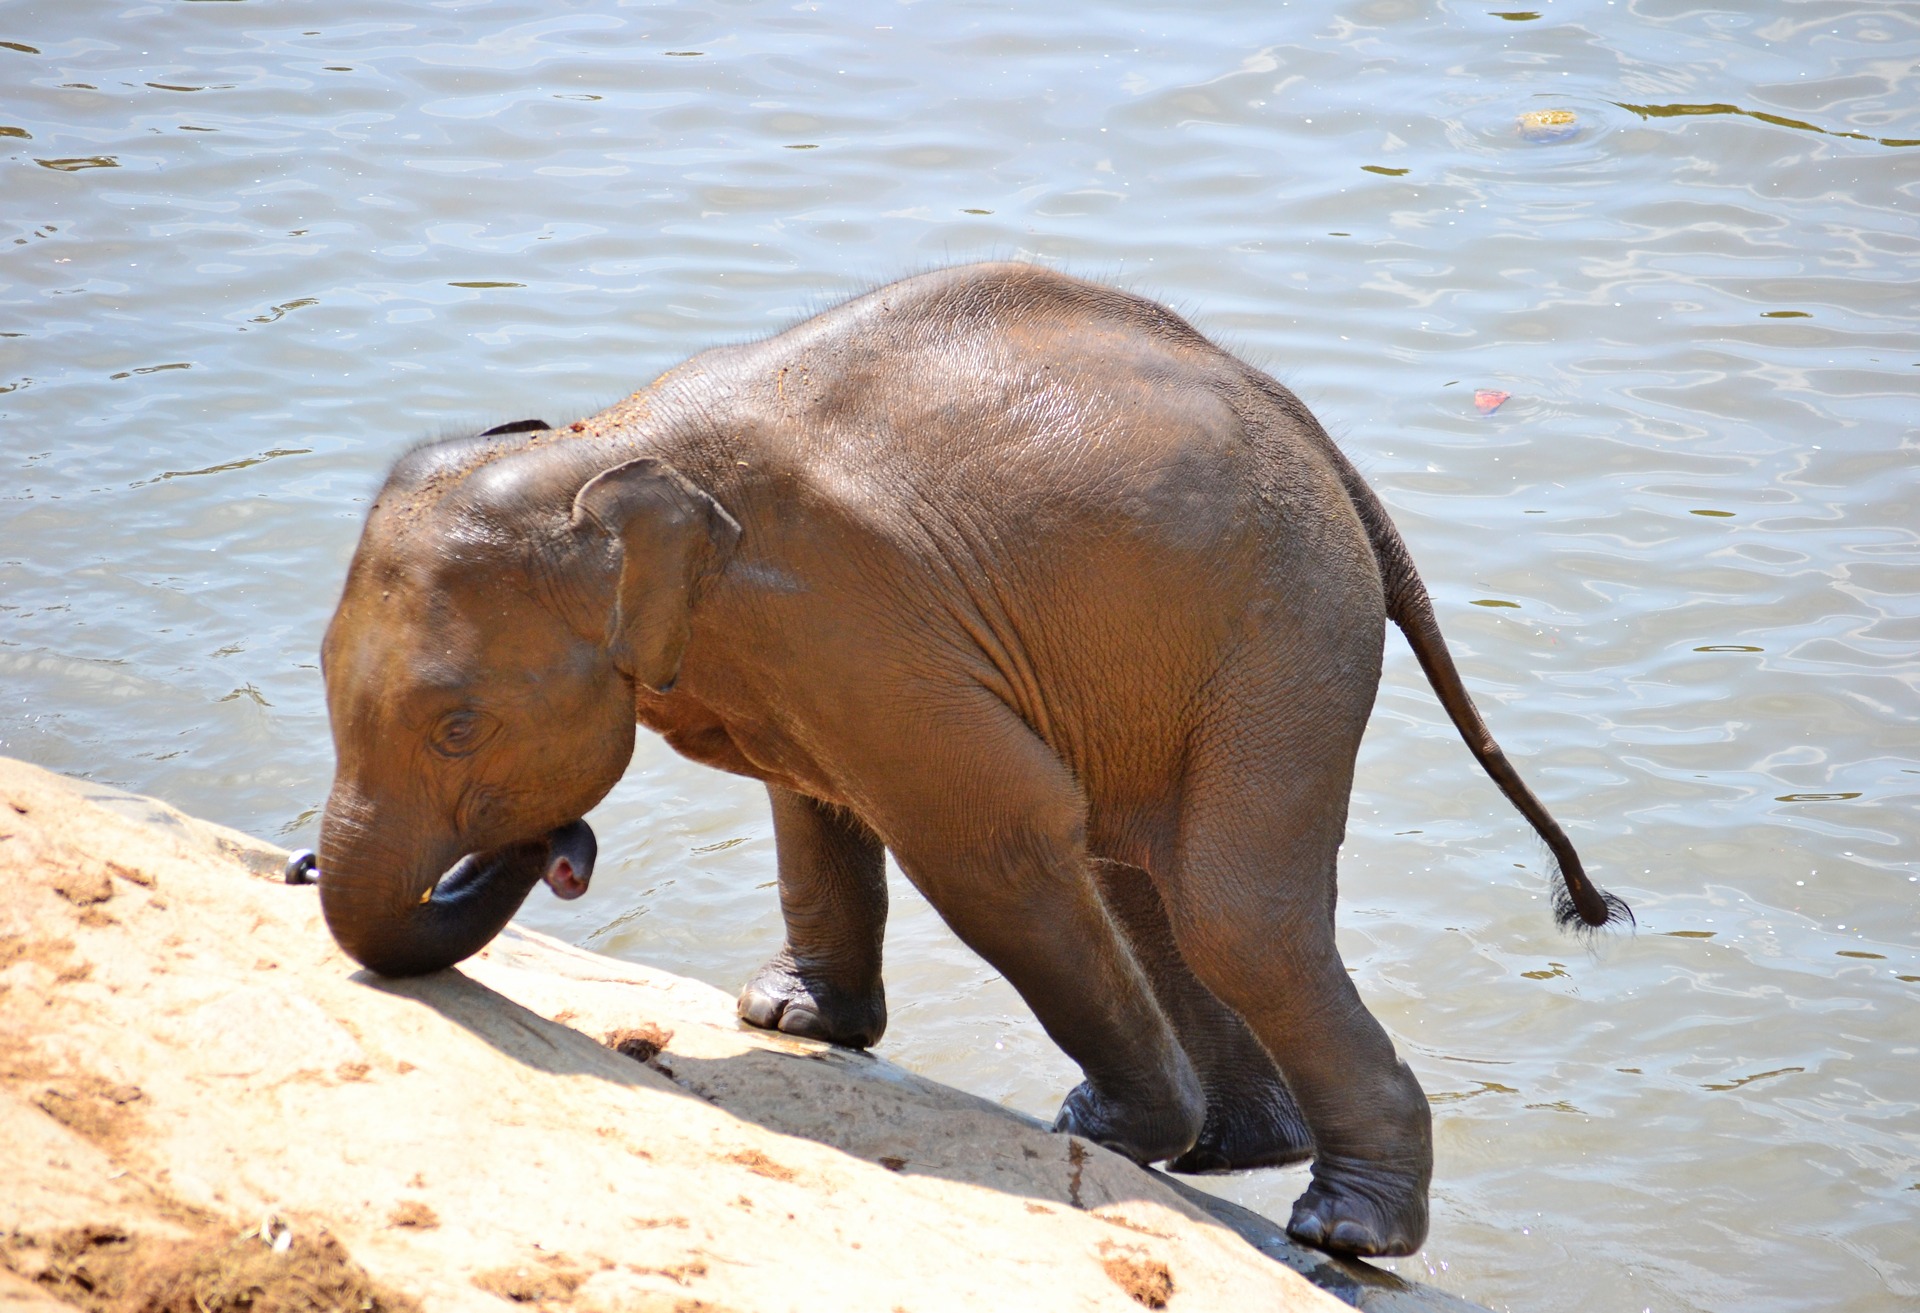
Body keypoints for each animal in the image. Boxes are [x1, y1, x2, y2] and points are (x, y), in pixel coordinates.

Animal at [312, 261, 1628, 1258]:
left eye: (458, 726)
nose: (562, 849)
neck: (609, 444)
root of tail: (1324, 447)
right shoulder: (797, 653)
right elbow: (815, 802)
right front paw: (792, 1018)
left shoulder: (859, 623)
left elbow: (986, 840)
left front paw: (1123, 1128)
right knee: (1145, 882)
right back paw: (1230, 1150)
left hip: (1287, 632)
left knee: (1231, 913)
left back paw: (1333, 1221)